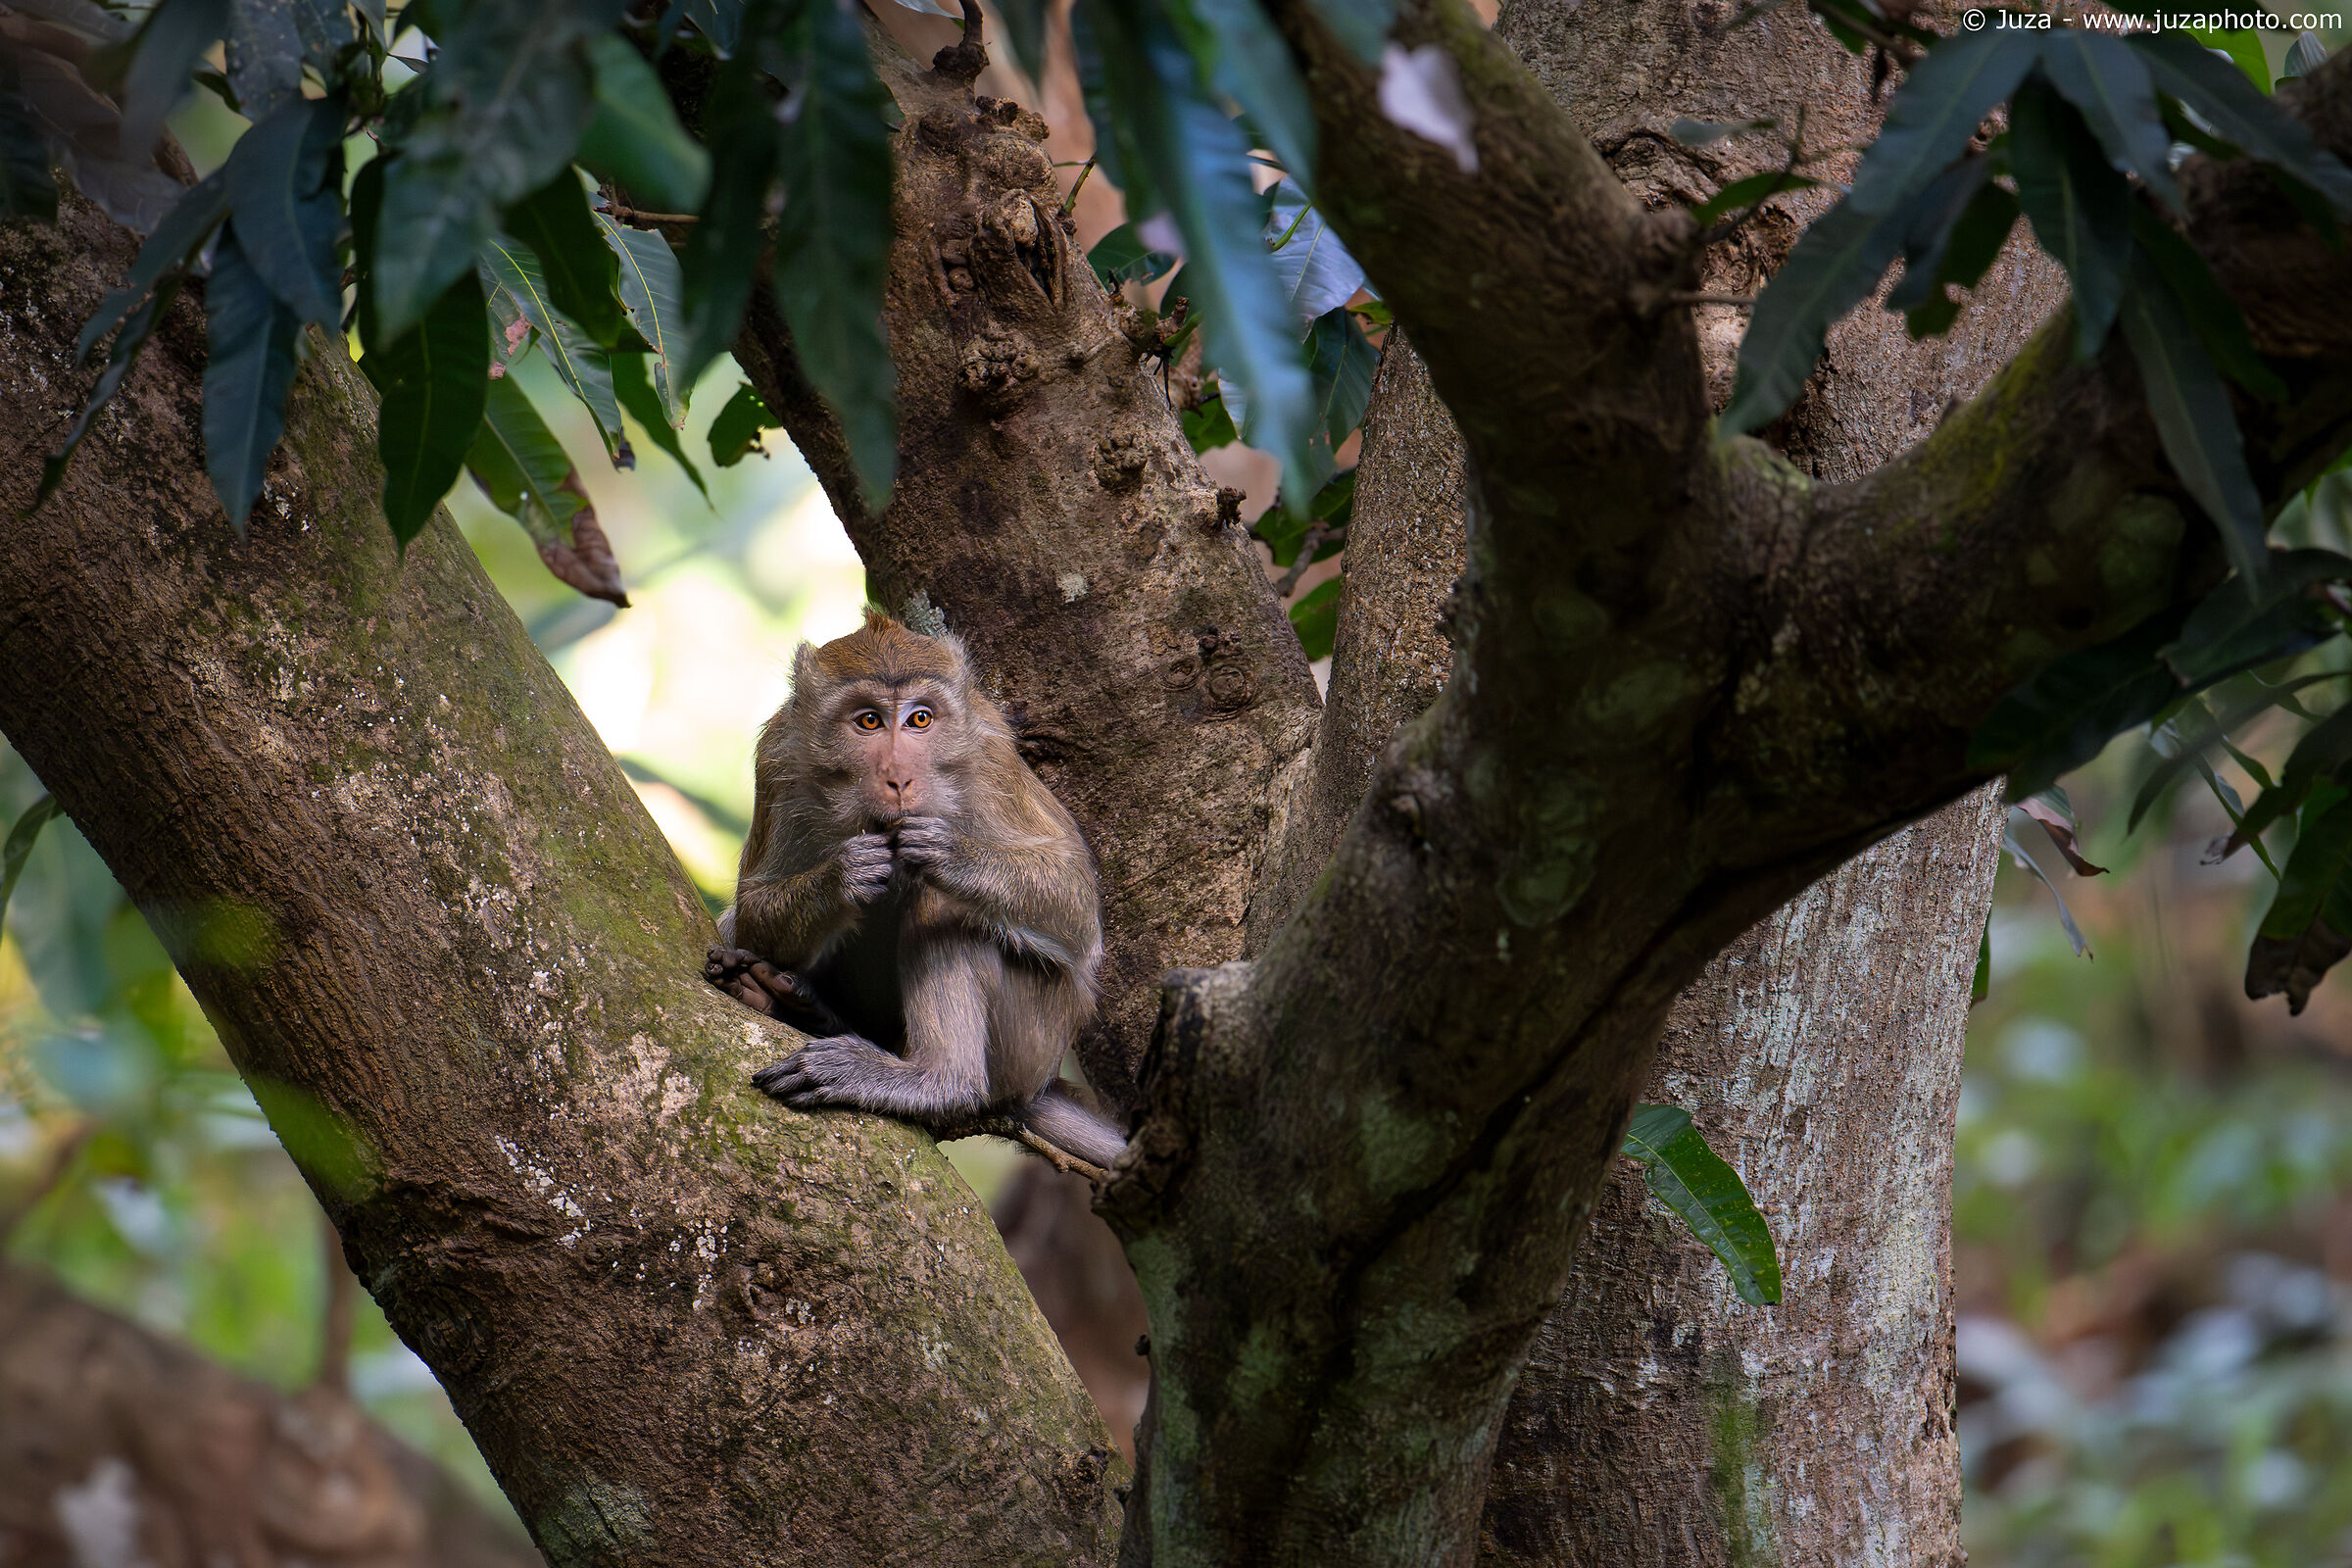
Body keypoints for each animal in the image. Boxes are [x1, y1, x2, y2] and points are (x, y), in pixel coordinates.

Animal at [704, 610, 1128, 1170]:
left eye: (920, 719)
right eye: (869, 721)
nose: (899, 779)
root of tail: (1037, 1085)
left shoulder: (988, 753)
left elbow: (1075, 902)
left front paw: (950, 854)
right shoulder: (777, 759)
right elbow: (752, 909)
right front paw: (845, 874)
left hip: (1032, 1038)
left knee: (940, 905)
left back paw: (933, 1080)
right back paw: (790, 1004)